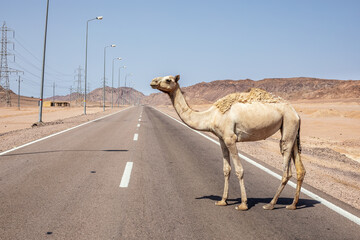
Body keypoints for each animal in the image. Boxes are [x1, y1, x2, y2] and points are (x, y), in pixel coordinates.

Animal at [150, 74, 306, 210]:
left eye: (168, 79)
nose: (153, 81)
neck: (210, 116)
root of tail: (296, 114)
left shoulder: (230, 139)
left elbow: (239, 170)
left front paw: (243, 204)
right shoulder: (222, 139)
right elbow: (226, 169)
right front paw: (222, 200)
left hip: (288, 125)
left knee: (286, 170)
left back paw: (271, 204)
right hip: (291, 130)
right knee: (300, 169)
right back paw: (292, 205)